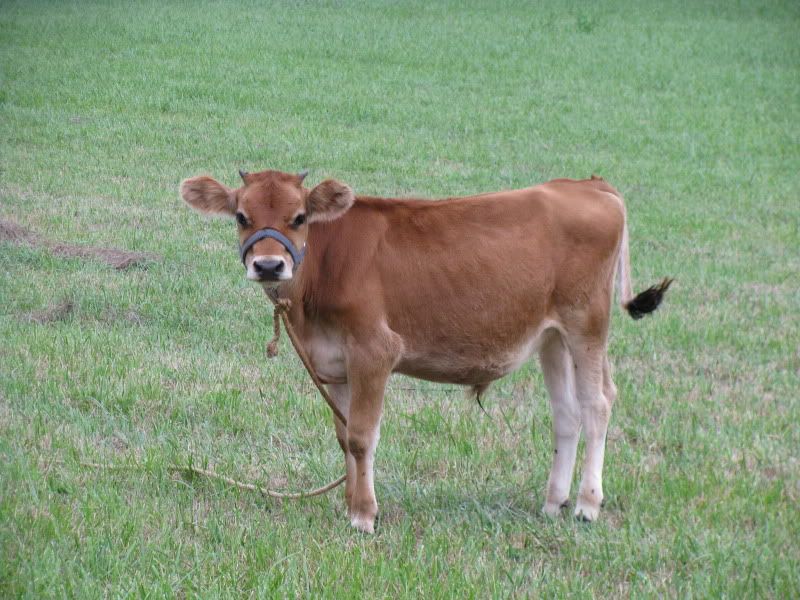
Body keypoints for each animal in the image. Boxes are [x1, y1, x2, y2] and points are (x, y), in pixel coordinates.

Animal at [180, 168, 671, 533]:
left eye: (300, 217)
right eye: (241, 216)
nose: (268, 265)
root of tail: (588, 184)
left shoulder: (374, 351)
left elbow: (362, 437)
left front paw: (364, 515)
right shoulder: (335, 363)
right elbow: (343, 435)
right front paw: (348, 502)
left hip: (586, 325)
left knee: (597, 403)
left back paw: (587, 504)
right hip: (551, 337)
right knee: (566, 414)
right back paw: (554, 503)